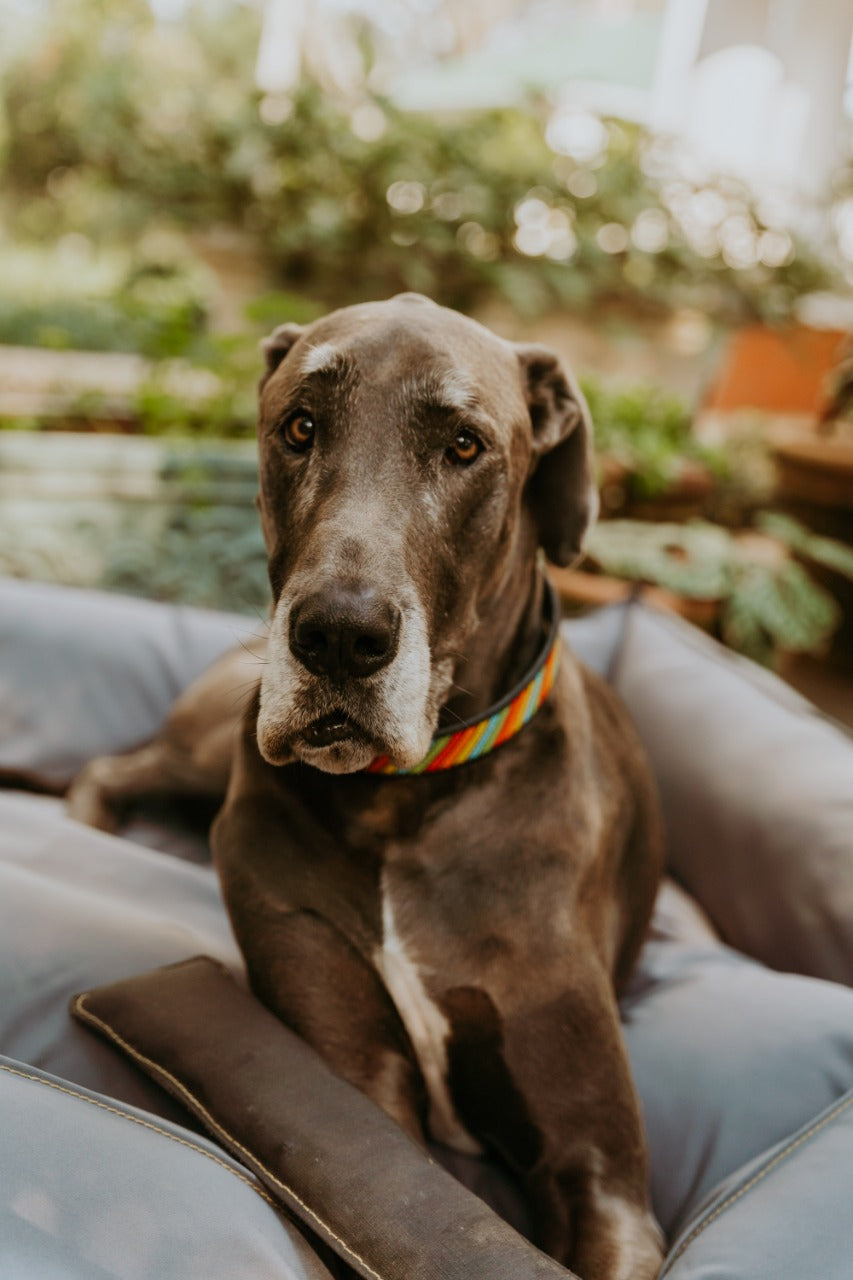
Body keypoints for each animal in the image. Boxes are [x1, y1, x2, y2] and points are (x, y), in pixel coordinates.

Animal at [66, 294, 666, 1274]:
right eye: (299, 427)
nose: (339, 636)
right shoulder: (352, 1085)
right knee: (113, 764)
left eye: (463, 444)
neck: (405, 800)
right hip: (213, 741)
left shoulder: (603, 1178)